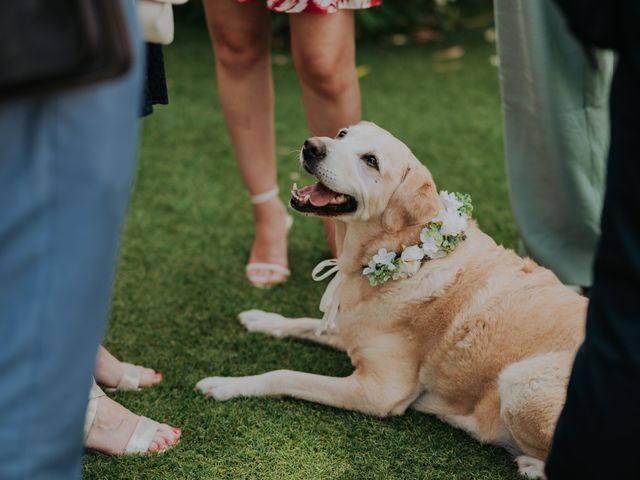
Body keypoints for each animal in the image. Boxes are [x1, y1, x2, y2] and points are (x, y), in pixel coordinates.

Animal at [198, 122, 588, 478]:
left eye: (371, 160)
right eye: (342, 134)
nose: (312, 146)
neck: (403, 250)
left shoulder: (377, 391)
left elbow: (286, 375)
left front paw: (226, 384)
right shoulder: (352, 327)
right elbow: (305, 324)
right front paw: (262, 318)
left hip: (520, 383)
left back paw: (528, 462)